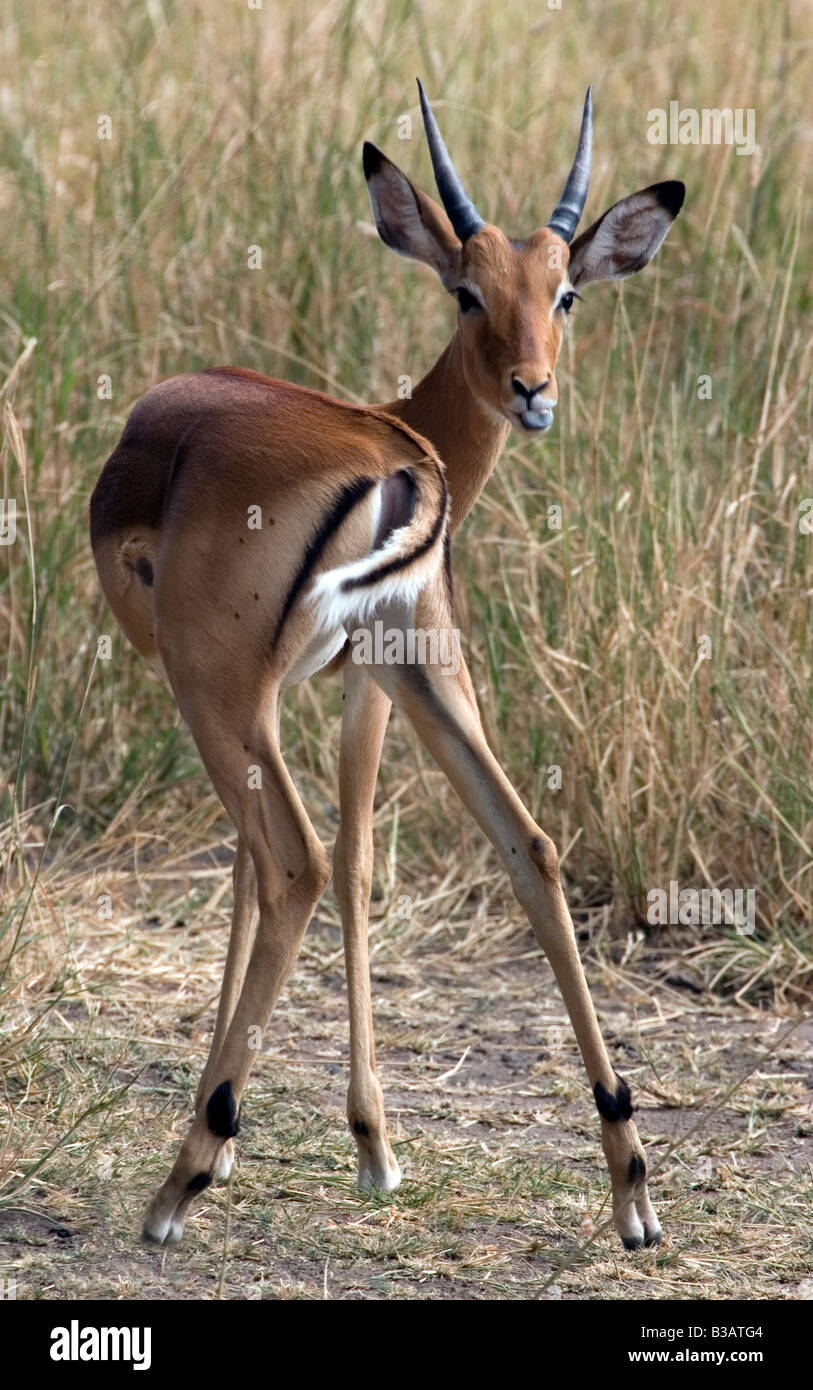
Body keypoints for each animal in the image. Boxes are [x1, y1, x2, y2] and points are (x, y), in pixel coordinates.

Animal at [90, 81, 684, 1250]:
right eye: (467, 291)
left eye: (566, 295)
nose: (533, 390)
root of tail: (400, 463)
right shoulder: (368, 681)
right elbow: (357, 861)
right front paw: (363, 1141)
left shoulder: (285, 694)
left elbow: (285, 868)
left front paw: (281, 1133)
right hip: (421, 679)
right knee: (530, 846)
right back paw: (632, 1183)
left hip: (223, 691)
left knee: (295, 863)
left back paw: (178, 1182)